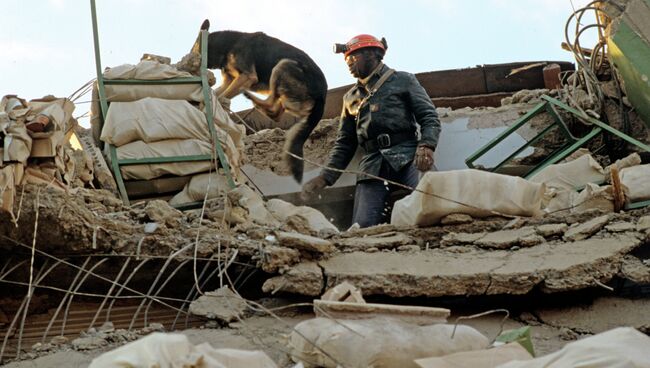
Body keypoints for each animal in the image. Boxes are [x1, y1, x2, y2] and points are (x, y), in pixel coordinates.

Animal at [195, 19, 326, 183]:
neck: (228, 45)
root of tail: (323, 94)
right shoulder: (229, 81)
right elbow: (217, 93)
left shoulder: (246, 76)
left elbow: (221, 96)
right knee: (276, 113)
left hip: (282, 65)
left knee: (272, 107)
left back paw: (251, 97)